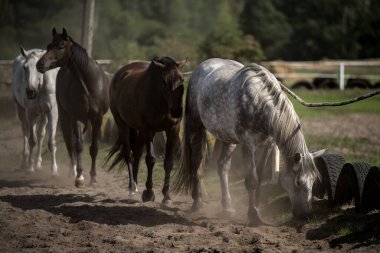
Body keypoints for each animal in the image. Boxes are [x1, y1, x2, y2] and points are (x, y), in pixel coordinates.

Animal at [11, 46, 59, 175]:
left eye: (39, 67)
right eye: (25, 67)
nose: (30, 91)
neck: (40, 88)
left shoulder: (52, 111)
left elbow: (51, 142)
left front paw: (54, 170)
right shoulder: (30, 113)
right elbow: (32, 140)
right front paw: (30, 167)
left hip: (42, 114)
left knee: (40, 134)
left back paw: (38, 163)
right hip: (21, 110)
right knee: (26, 133)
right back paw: (25, 162)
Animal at [36, 27, 110, 187]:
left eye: (61, 46)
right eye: (48, 46)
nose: (40, 64)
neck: (89, 84)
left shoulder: (97, 119)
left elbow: (93, 148)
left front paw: (93, 178)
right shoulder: (76, 117)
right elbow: (79, 146)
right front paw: (80, 177)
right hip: (66, 117)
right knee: (71, 143)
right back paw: (73, 171)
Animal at [106, 56, 186, 204]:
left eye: (182, 79)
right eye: (164, 81)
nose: (177, 111)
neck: (161, 103)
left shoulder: (172, 131)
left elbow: (168, 162)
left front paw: (166, 195)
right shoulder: (149, 130)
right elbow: (150, 159)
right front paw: (148, 193)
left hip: (140, 131)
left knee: (137, 153)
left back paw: (135, 184)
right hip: (122, 124)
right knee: (128, 154)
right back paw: (132, 188)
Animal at [174, 58, 326, 224]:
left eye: (314, 180)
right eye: (298, 181)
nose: (305, 215)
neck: (259, 101)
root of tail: (200, 67)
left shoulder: (267, 145)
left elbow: (259, 178)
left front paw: (258, 208)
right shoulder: (248, 145)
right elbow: (252, 180)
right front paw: (253, 215)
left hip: (228, 137)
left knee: (223, 167)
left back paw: (227, 207)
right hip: (195, 125)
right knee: (196, 162)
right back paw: (197, 202)